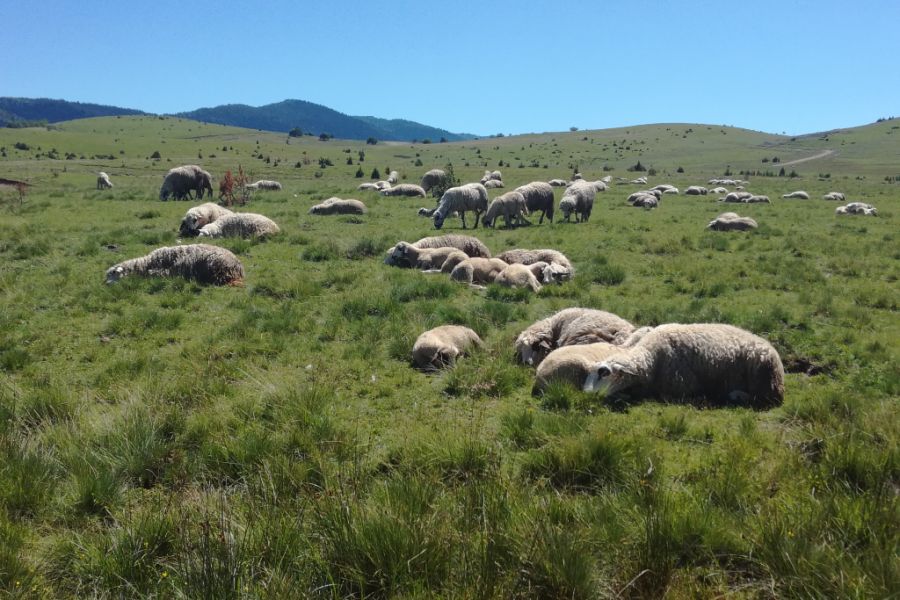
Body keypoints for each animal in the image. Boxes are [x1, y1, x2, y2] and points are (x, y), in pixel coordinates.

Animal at [581, 323, 785, 409]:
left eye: (603, 373)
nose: (585, 394)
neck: (651, 357)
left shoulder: (682, 387)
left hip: (765, 379)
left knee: (765, 399)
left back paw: (735, 395)